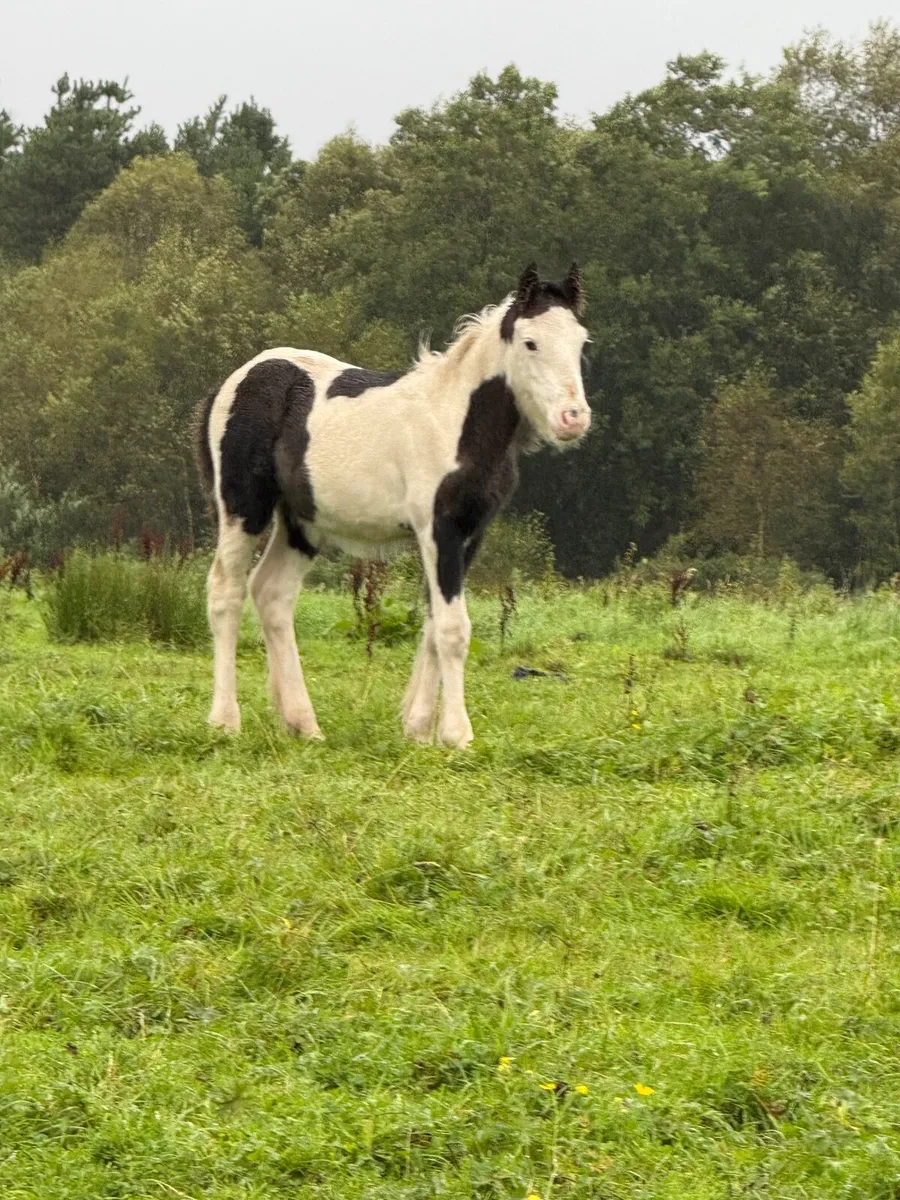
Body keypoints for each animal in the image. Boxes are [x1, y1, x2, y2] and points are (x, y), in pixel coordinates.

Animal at [194, 263, 591, 748]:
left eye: (580, 342)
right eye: (530, 342)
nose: (573, 419)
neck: (453, 420)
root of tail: (230, 384)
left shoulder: (469, 533)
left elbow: (434, 624)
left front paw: (418, 729)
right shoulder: (438, 529)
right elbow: (453, 629)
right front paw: (457, 735)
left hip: (301, 524)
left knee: (272, 594)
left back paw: (304, 725)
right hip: (243, 508)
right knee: (226, 592)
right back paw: (224, 722)